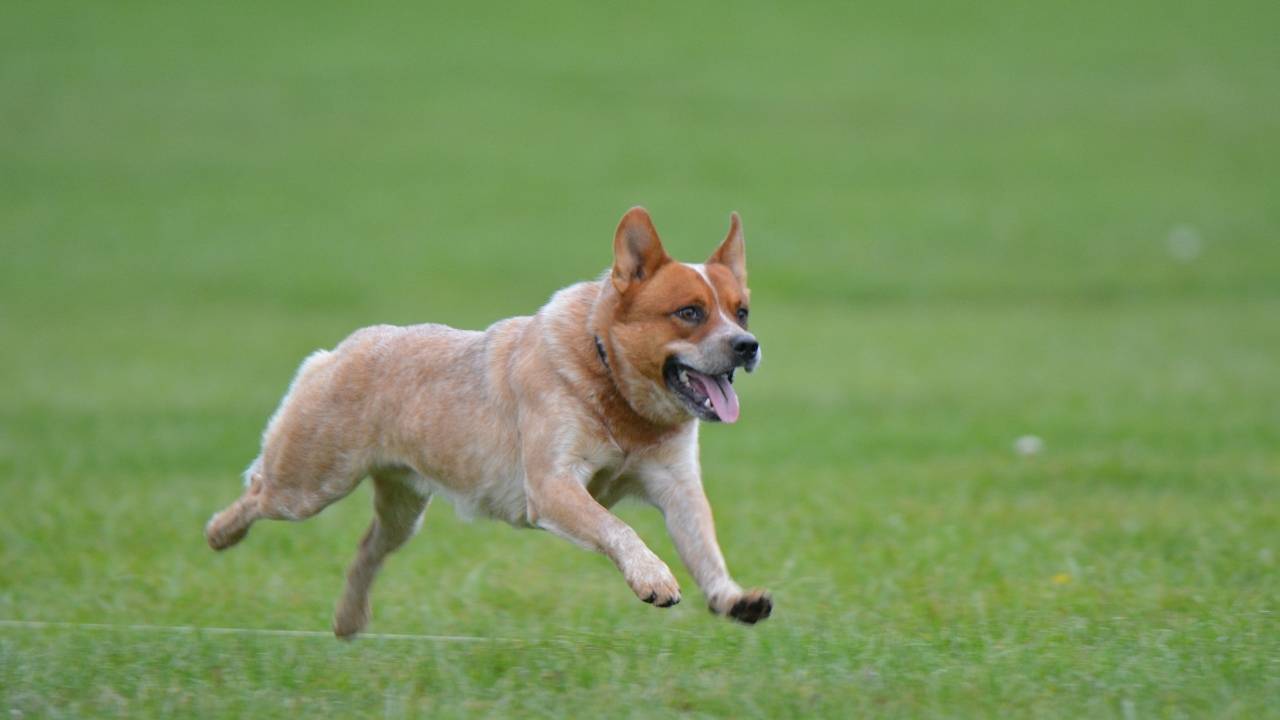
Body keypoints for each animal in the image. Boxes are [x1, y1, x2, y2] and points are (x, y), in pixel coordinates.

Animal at [204, 206, 773, 632]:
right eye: (690, 312)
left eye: (741, 310)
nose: (748, 345)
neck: (615, 390)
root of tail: (344, 348)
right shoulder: (552, 485)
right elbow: (619, 527)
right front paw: (653, 579)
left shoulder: (677, 485)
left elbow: (704, 546)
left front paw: (733, 598)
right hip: (309, 483)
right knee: (258, 492)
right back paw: (219, 534)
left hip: (403, 508)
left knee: (369, 546)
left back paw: (349, 620)